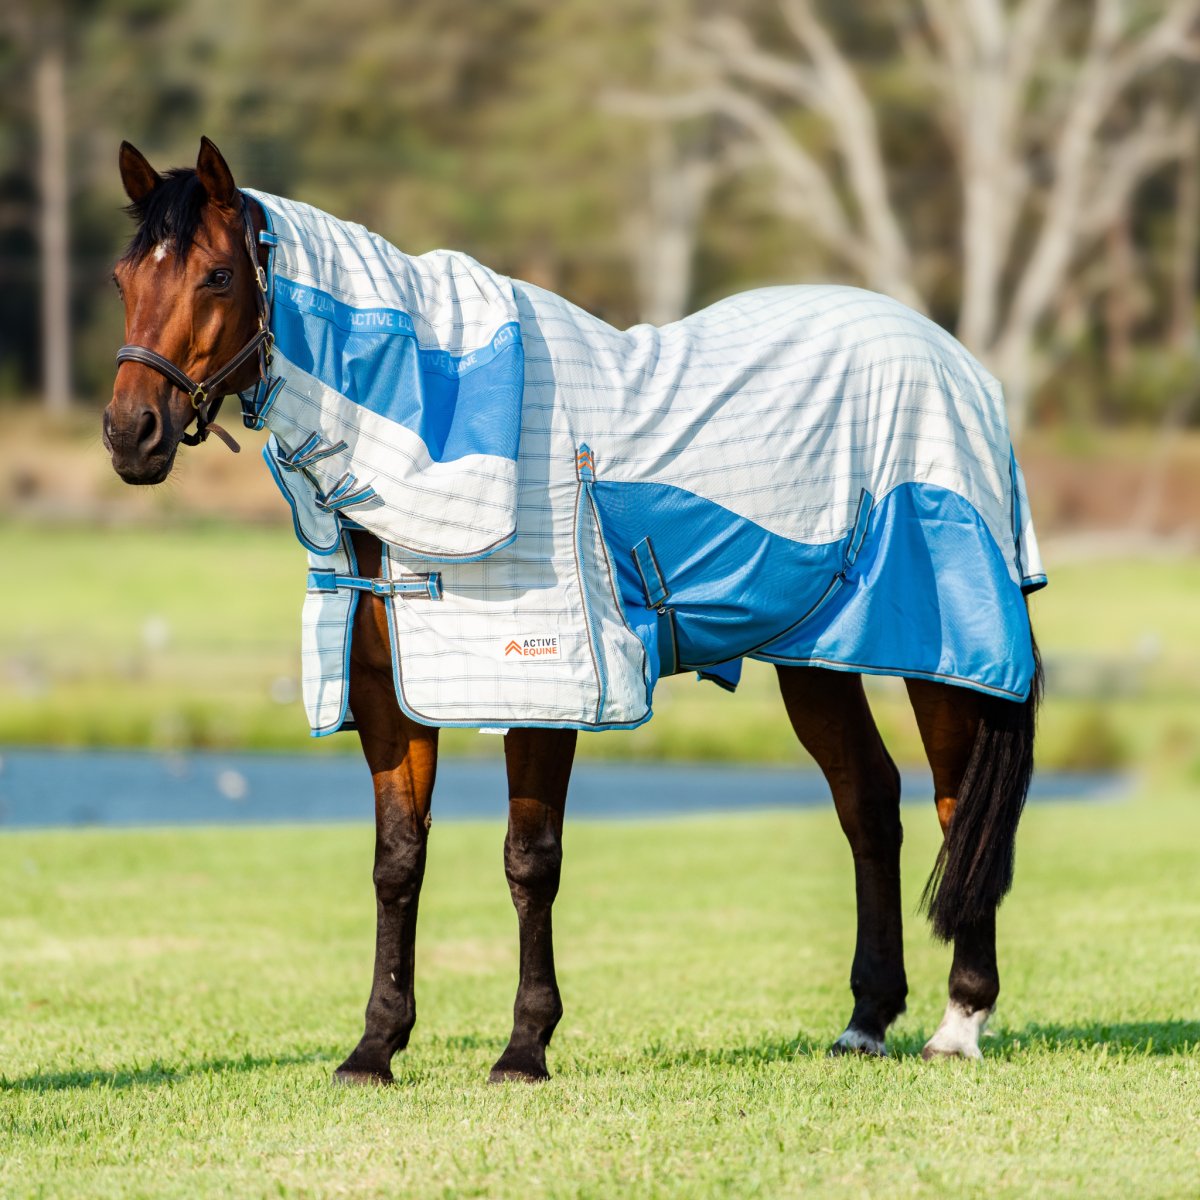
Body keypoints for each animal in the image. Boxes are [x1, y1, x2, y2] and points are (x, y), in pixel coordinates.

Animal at [104, 137, 1043, 1082]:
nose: (129, 433)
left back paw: (959, 1021)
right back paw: (865, 1020)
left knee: (956, 807)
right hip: (816, 655)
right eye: (123, 277)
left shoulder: (544, 685)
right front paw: (375, 1046)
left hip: (942, 651)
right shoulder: (389, 696)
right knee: (869, 803)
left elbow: (530, 860)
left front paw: (524, 1046)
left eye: (219, 275)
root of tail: (960, 365)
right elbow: (397, 861)